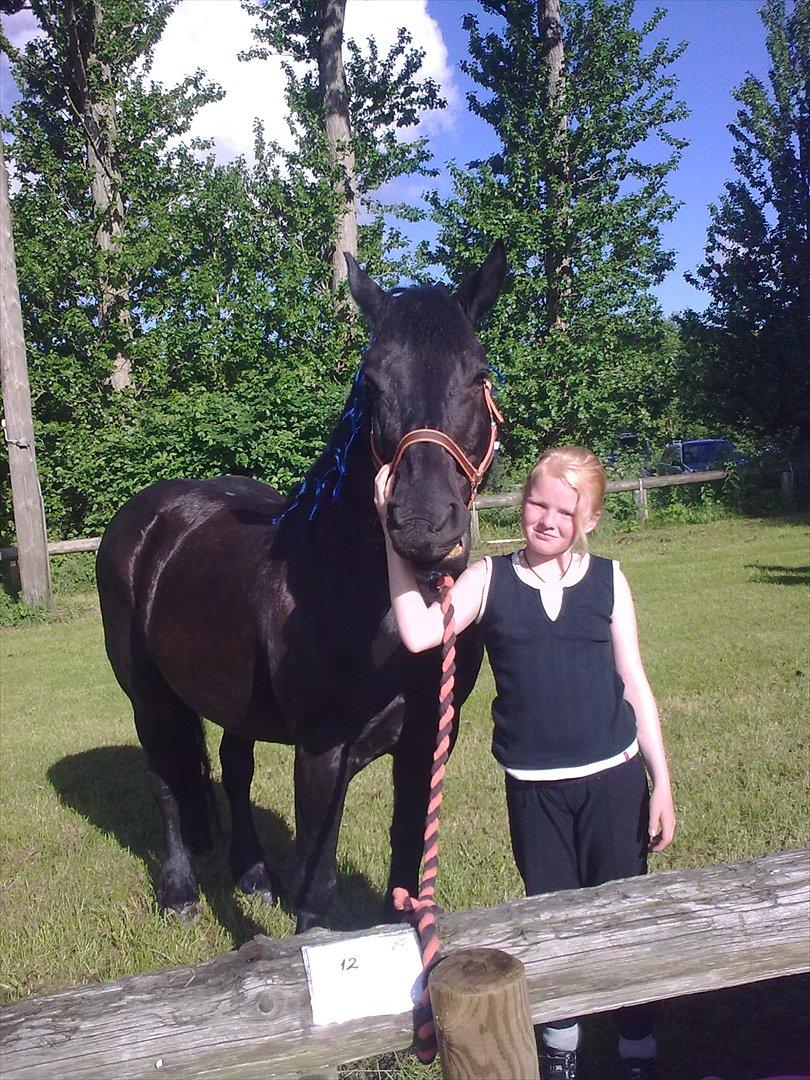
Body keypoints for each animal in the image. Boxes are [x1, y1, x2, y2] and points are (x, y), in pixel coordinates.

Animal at [95, 242, 507, 933]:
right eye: (371, 383)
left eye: (478, 376)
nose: (423, 522)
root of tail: (149, 516)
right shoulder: (321, 750)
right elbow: (316, 890)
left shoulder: (428, 742)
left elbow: (407, 867)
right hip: (147, 694)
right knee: (164, 778)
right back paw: (179, 892)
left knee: (233, 767)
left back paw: (253, 876)